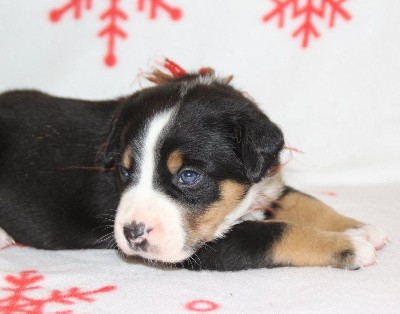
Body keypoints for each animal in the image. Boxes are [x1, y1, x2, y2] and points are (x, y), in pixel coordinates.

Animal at [0, 66, 388, 270]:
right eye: (124, 172)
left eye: (189, 176)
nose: (131, 233)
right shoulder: (215, 247)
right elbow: (281, 232)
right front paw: (350, 246)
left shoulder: (269, 185)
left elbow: (307, 203)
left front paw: (360, 228)